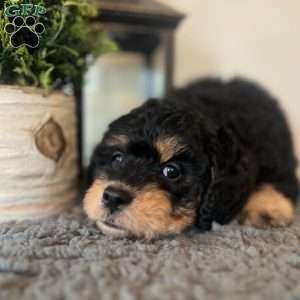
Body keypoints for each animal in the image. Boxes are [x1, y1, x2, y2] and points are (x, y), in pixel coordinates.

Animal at [82, 78, 298, 239]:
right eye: (117, 158)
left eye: (171, 171)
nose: (114, 197)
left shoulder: (277, 159)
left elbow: (278, 180)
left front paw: (266, 210)